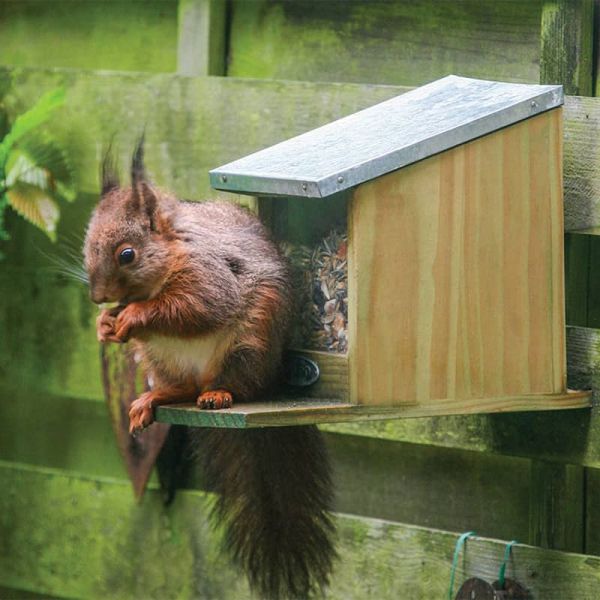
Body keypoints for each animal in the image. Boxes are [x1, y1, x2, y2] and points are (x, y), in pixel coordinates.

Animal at [84, 139, 336, 596]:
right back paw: (153, 399)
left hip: (249, 344)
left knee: (237, 384)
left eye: (127, 254)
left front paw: (132, 316)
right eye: (87, 246)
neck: (172, 250)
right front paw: (105, 325)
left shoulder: (210, 274)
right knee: (183, 388)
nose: (97, 296)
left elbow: (196, 307)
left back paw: (219, 394)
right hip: (163, 361)